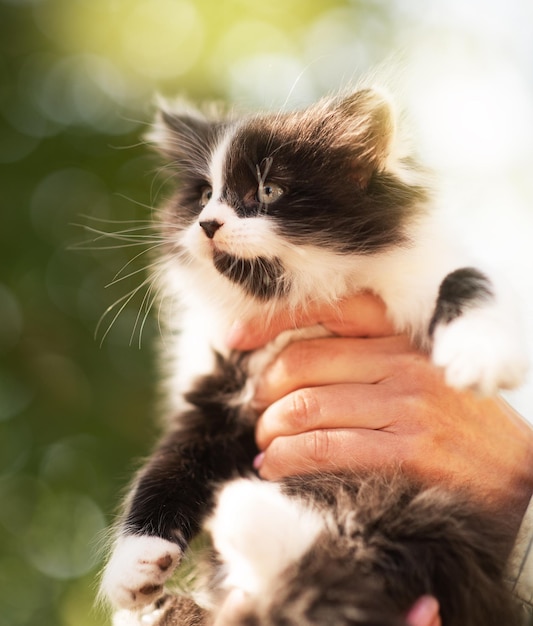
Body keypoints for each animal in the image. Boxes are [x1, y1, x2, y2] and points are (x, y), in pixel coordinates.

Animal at [100, 86, 528, 620]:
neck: (296, 302)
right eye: (203, 195)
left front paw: (481, 353)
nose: (207, 224)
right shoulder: (216, 387)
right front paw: (133, 566)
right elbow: (169, 463)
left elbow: (466, 276)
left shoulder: (423, 275)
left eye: (267, 192)